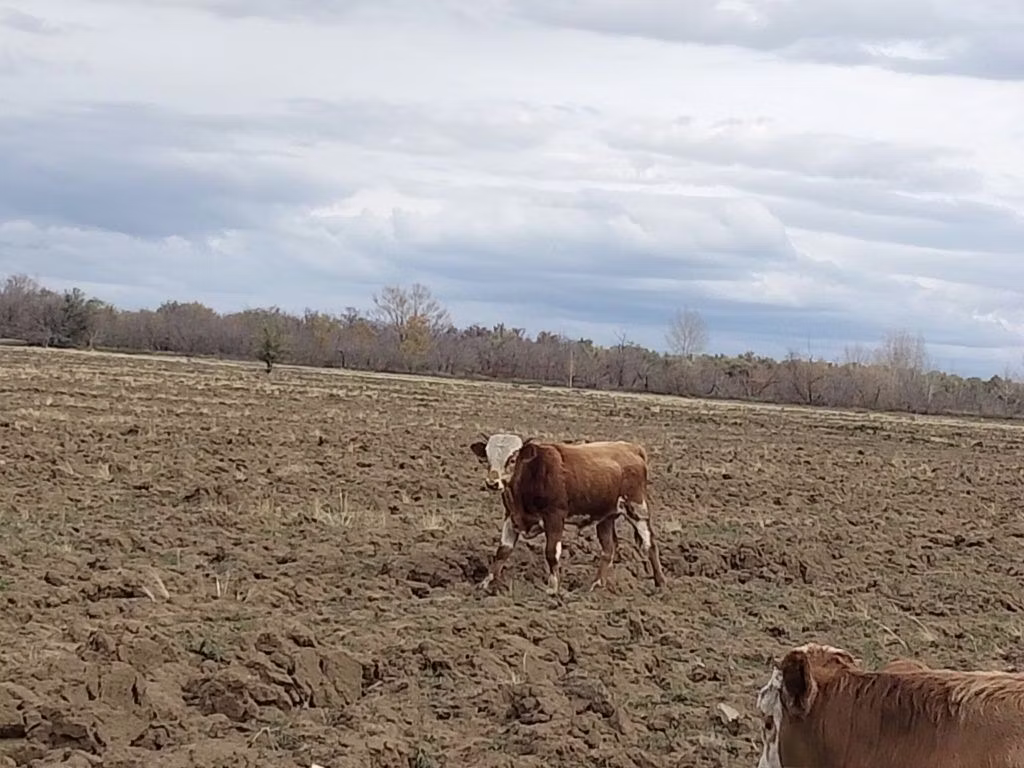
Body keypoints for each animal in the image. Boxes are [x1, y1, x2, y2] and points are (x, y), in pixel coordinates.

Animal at [472, 435, 667, 595]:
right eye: (487, 458)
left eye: (512, 459)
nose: (492, 483)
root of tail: (631, 448)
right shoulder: (511, 517)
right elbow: (502, 552)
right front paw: (485, 584)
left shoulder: (555, 517)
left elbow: (552, 552)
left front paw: (553, 589)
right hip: (605, 517)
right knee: (608, 549)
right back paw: (596, 585)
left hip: (637, 508)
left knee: (650, 544)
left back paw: (660, 585)